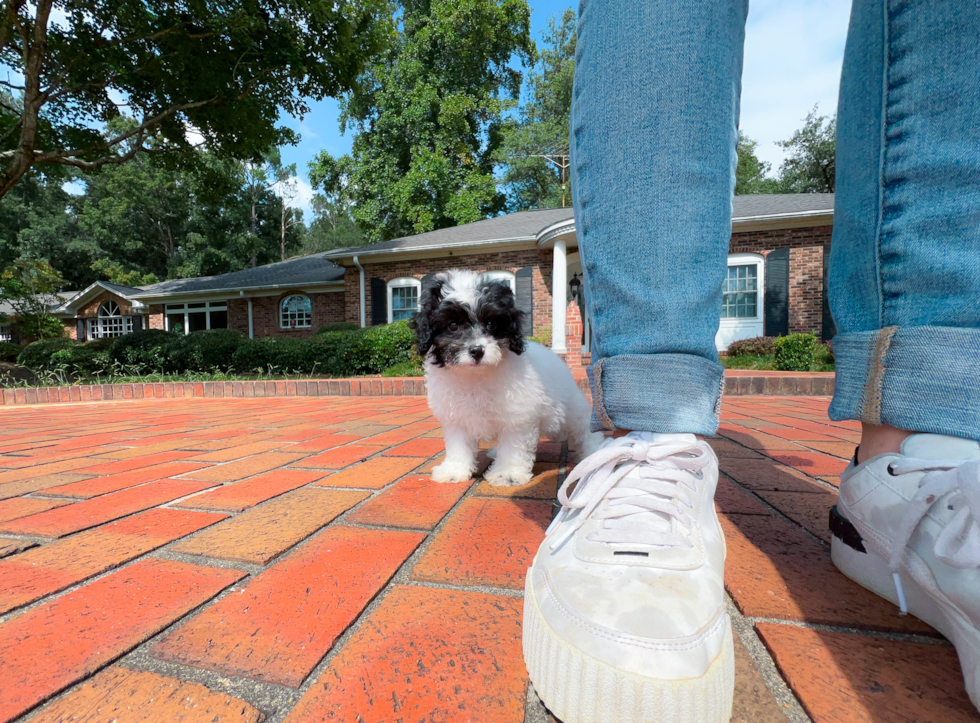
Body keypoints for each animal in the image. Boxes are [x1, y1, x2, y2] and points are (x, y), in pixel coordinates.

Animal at [412, 270, 600, 486]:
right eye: (452, 325)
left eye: (491, 324)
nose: (477, 350)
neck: (476, 376)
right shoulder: (456, 417)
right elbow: (458, 444)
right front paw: (454, 470)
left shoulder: (518, 416)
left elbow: (513, 445)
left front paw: (507, 473)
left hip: (569, 408)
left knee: (583, 425)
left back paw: (595, 449)